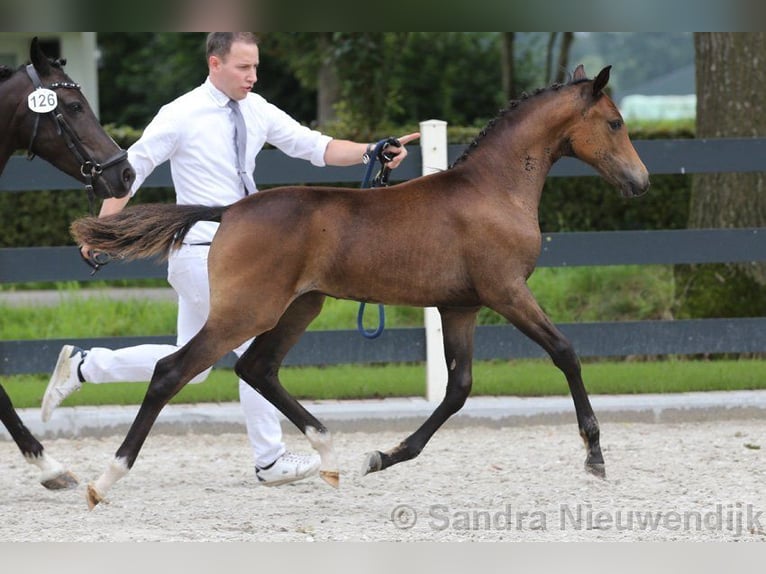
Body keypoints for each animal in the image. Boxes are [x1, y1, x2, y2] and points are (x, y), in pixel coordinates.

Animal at [72, 65, 652, 510]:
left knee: (256, 368)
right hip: (248, 311)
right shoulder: (506, 292)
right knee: (172, 371)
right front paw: (594, 455)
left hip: (300, 306)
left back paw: (329, 457)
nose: (641, 183)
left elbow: (458, 388)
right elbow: (565, 352)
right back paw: (105, 480)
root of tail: (228, 211)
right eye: (615, 122)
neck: (493, 190)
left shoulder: (459, 307)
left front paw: (385, 456)